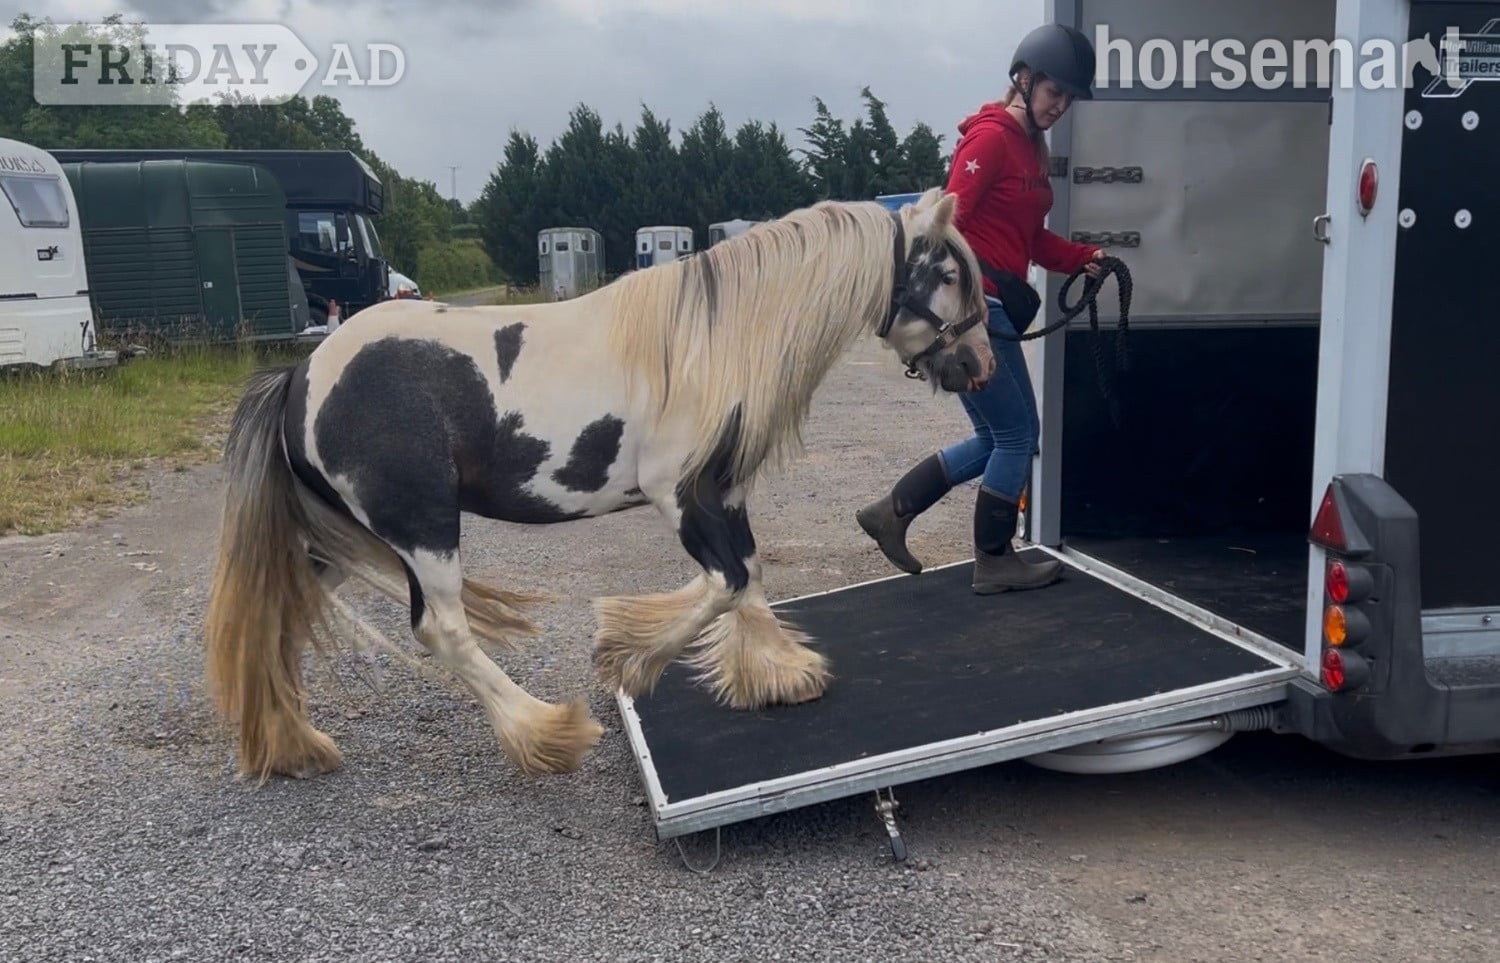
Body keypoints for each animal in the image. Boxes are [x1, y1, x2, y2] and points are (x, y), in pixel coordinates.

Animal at [203, 187, 995, 783]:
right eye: (951, 274)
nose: (980, 365)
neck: (708, 342)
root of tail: (301, 376)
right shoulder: (681, 494)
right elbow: (727, 582)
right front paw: (629, 658)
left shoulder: (723, 490)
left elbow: (749, 576)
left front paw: (776, 673)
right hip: (423, 531)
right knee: (442, 629)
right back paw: (545, 731)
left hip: (343, 540)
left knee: (282, 615)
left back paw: (292, 744)